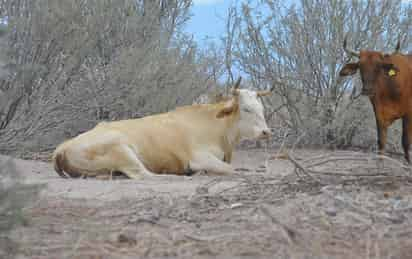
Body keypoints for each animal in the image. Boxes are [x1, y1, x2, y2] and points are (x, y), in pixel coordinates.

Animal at [53, 78, 272, 181]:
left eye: (261, 108)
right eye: (247, 109)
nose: (266, 132)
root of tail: (62, 147)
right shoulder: (199, 158)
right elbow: (231, 169)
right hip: (122, 150)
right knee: (145, 175)